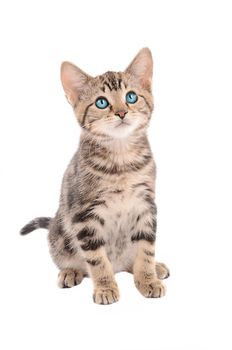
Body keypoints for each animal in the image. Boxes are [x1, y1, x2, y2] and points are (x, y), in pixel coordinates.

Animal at [20, 47, 169, 304]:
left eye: (131, 97)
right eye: (101, 102)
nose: (121, 112)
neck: (121, 159)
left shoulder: (146, 205)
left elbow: (146, 249)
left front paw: (148, 278)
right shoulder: (84, 215)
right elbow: (97, 259)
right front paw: (106, 287)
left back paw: (154, 268)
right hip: (59, 234)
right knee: (68, 259)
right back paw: (70, 272)